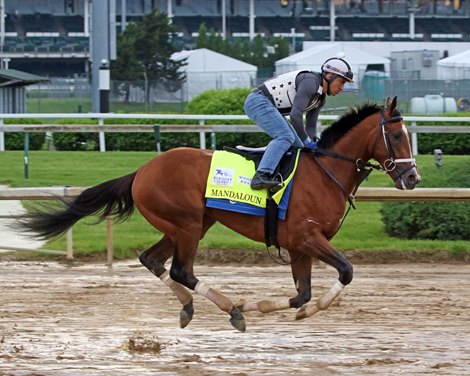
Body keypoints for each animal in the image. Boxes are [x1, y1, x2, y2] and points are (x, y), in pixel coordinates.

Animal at [19, 97, 422, 332]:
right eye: (396, 136)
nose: (413, 178)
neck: (326, 172)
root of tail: (142, 171)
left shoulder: (299, 246)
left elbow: (302, 294)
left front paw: (277, 307)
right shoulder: (308, 237)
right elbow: (346, 272)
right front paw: (255, 306)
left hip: (187, 224)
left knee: (152, 259)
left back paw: (190, 307)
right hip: (186, 224)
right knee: (181, 270)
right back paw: (231, 310)